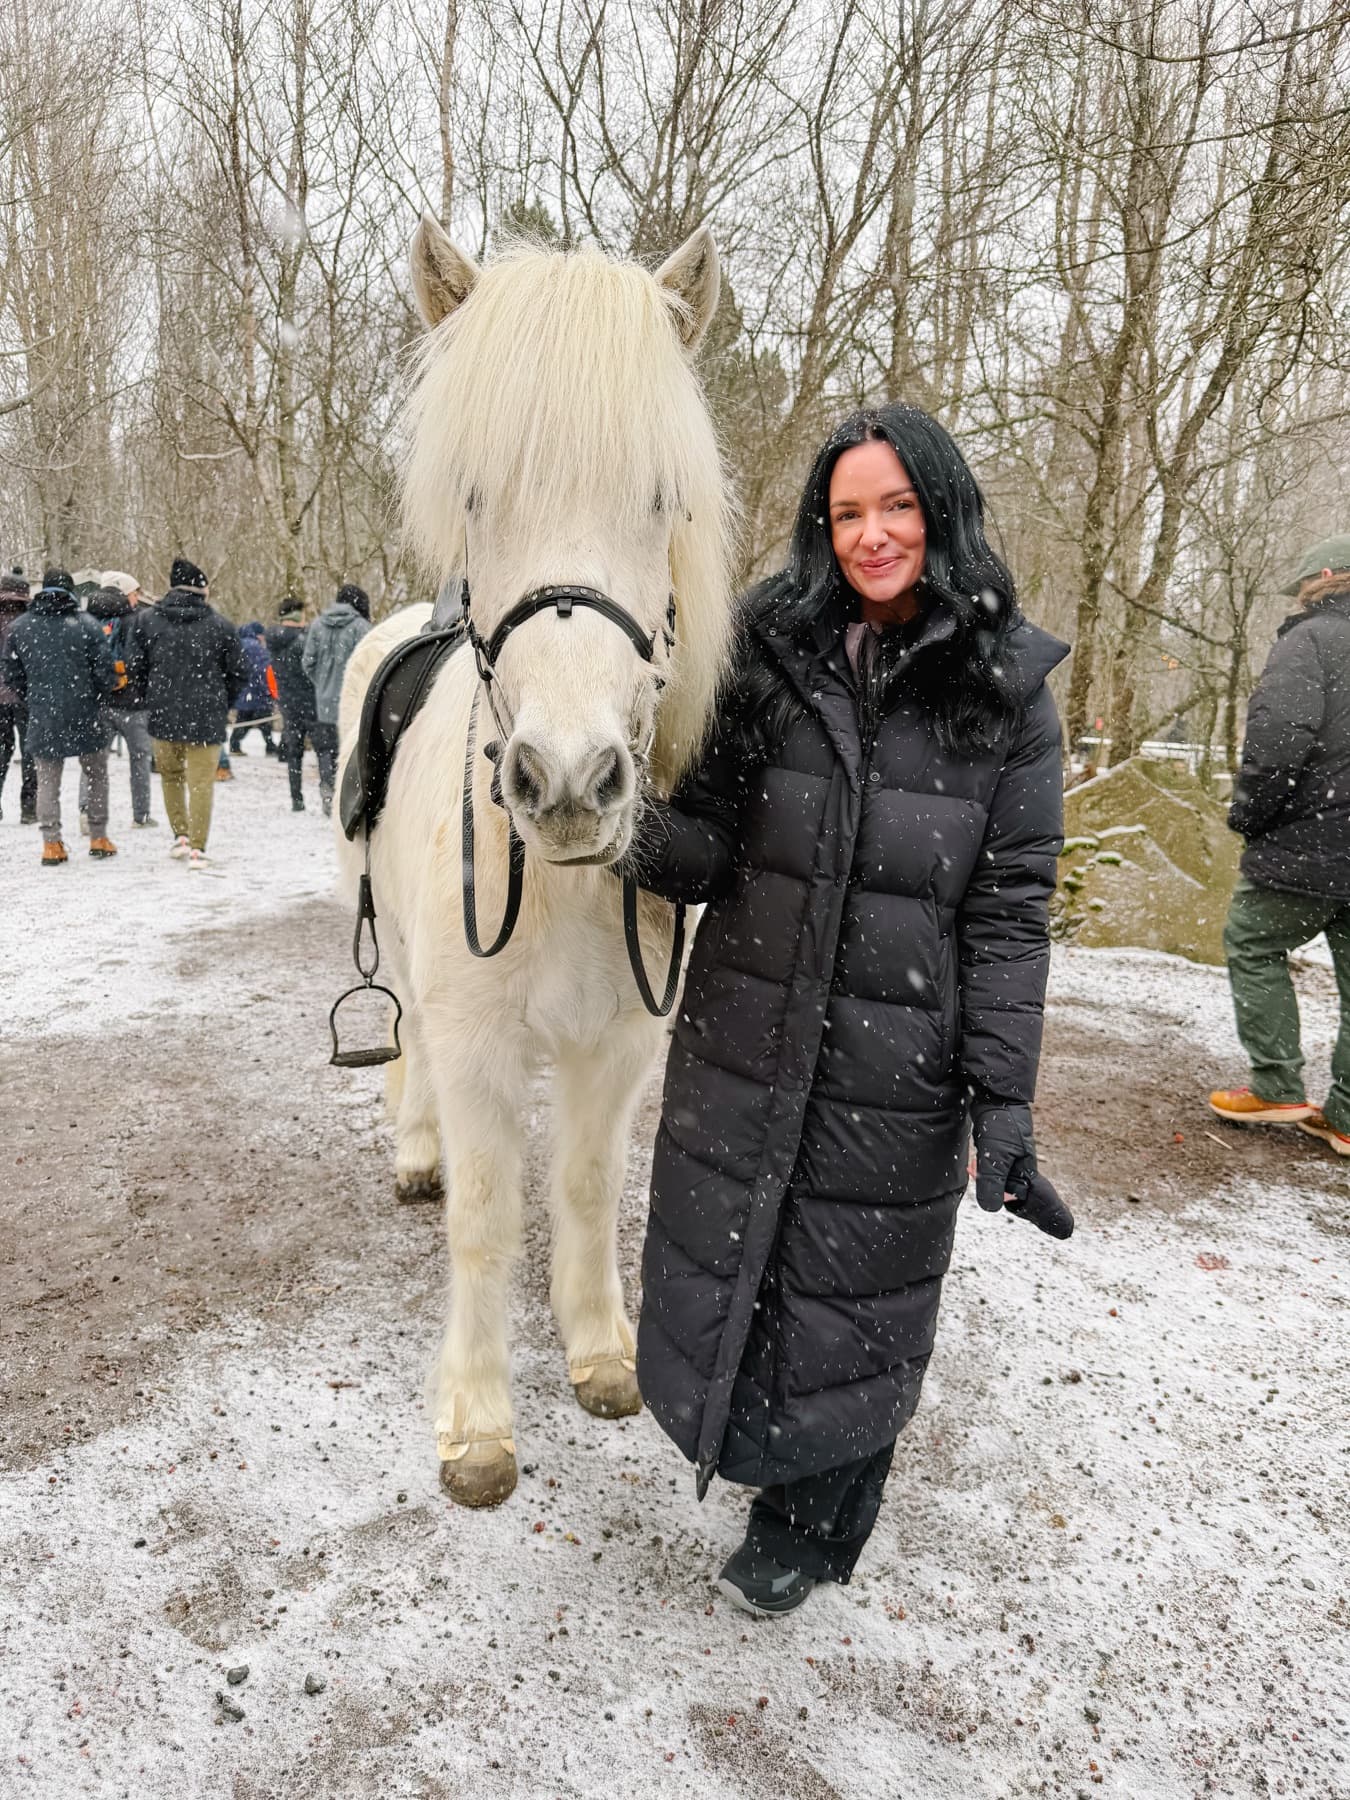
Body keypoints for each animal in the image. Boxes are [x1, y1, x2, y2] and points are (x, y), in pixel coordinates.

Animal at [335, 215, 733, 1508]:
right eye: (476, 494)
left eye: (660, 499)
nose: (566, 781)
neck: (557, 887)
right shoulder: (478, 1049)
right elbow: (487, 1219)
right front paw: (477, 1421)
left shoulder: (618, 1047)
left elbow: (588, 1191)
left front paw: (600, 1352)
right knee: (405, 1038)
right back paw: (414, 1153)